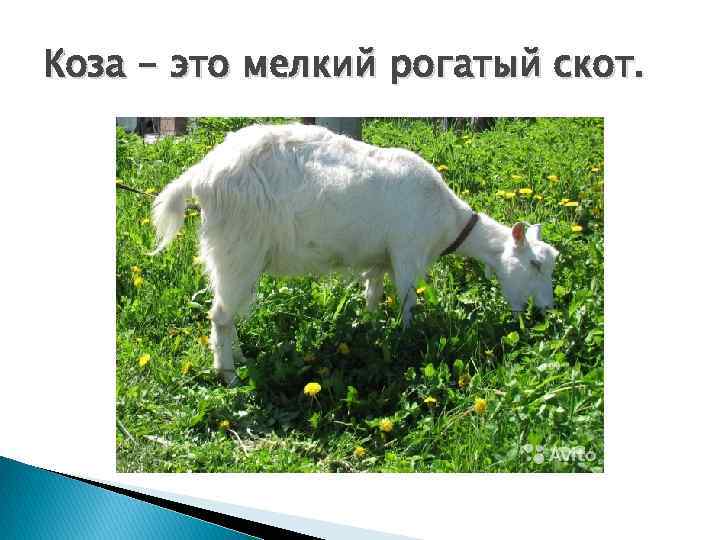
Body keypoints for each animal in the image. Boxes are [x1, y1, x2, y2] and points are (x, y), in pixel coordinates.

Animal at [152, 123, 559, 385]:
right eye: (535, 263)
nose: (547, 311)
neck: (446, 219)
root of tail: (200, 175)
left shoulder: (379, 260)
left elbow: (373, 296)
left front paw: (372, 327)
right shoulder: (407, 254)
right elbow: (408, 303)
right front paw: (404, 340)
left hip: (236, 257)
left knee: (229, 312)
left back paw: (239, 358)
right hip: (237, 248)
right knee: (220, 315)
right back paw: (230, 376)